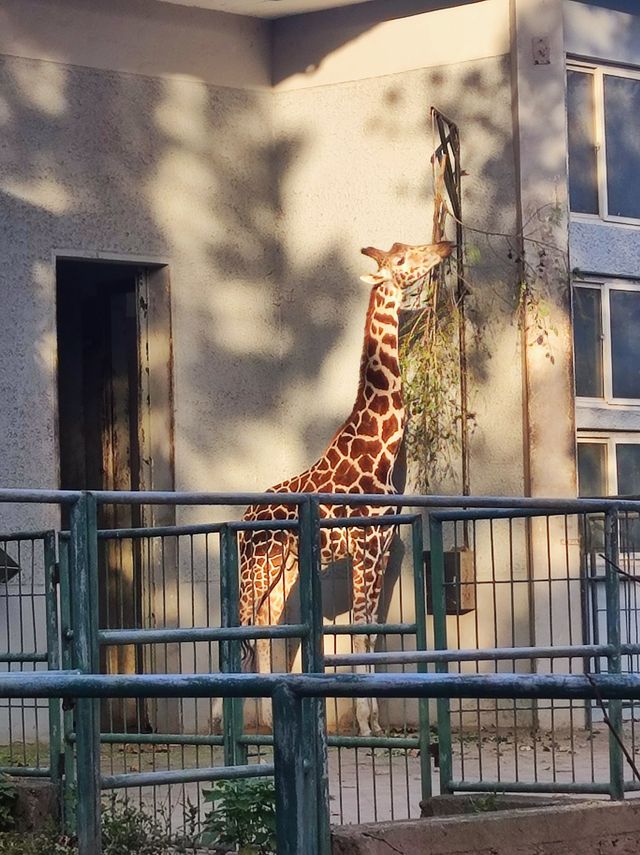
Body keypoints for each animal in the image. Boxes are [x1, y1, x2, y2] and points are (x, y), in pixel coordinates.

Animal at [234, 241, 450, 736]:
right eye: (403, 260)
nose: (446, 245)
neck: (380, 452)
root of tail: (242, 519)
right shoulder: (366, 547)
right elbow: (359, 629)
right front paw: (366, 723)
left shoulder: (384, 547)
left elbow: (371, 629)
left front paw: (374, 722)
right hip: (255, 571)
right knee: (242, 627)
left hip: (285, 570)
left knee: (267, 626)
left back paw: (269, 722)